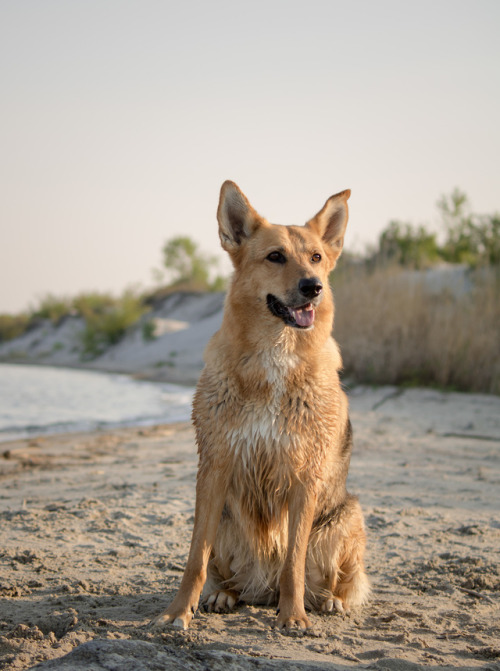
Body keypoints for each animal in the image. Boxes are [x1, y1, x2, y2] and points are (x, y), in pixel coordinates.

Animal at [154, 181, 370, 632]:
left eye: (316, 257)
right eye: (275, 256)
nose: (313, 287)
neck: (275, 356)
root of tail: (262, 588)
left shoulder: (304, 477)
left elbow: (293, 562)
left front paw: (293, 616)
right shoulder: (214, 468)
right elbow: (194, 560)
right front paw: (178, 611)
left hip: (347, 516)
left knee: (330, 580)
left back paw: (327, 601)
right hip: (223, 519)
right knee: (227, 575)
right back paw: (224, 594)